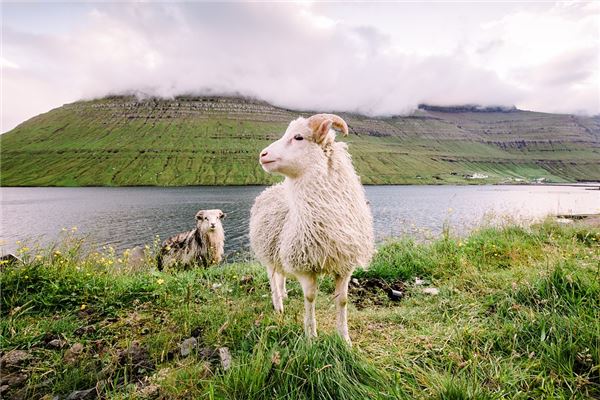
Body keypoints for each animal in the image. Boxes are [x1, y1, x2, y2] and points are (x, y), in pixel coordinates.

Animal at [250, 113, 372, 344]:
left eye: (298, 137)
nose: (263, 154)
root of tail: (271, 189)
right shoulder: (304, 265)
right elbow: (310, 297)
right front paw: (310, 336)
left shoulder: (345, 264)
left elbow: (342, 300)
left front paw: (345, 339)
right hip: (268, 251)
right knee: (272, 279)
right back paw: (278, 305)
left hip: (280, 250)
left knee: (280, 276)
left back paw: (284, 295)